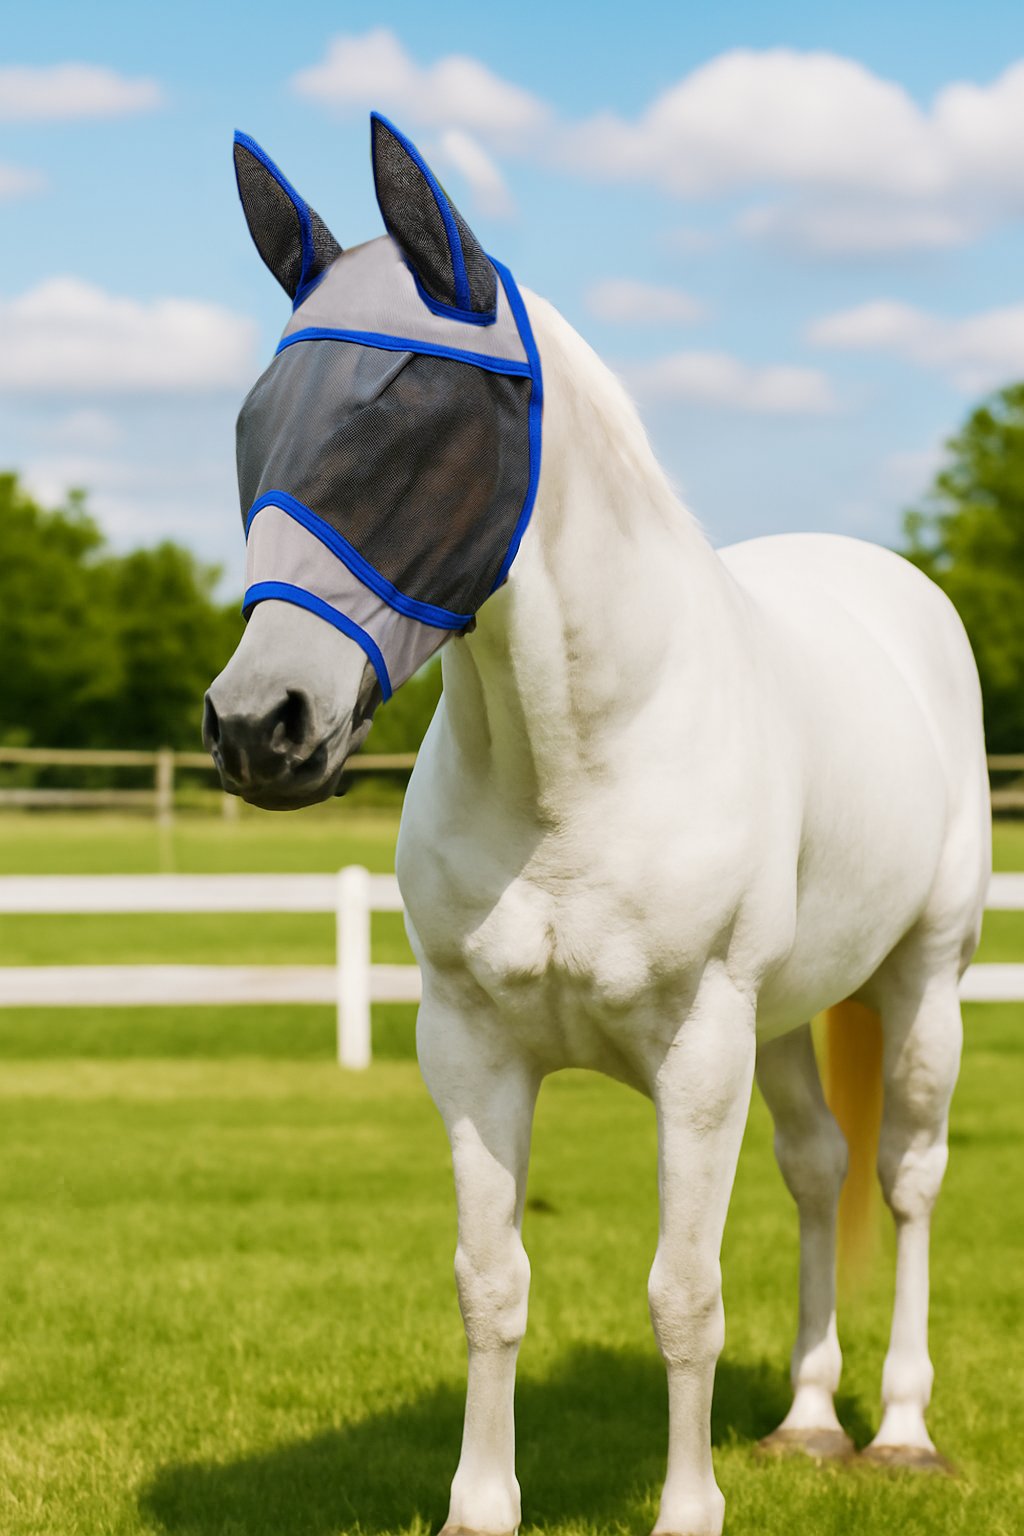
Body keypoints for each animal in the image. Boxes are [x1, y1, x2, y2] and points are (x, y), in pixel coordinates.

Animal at [204, 115, 991, 1536]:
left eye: (416, 414)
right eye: (255, 423)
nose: (259, 724)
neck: (574, 770)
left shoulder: (697, 1052)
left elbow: (683, 1295)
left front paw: (687, 1513)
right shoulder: (470, 1050)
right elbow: (490, 1282)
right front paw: (479, 1509)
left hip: (923, 985)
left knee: (903, 1174)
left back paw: (899, 1433)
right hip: (785, 1020)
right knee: (815, 1167)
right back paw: (807, 1422)